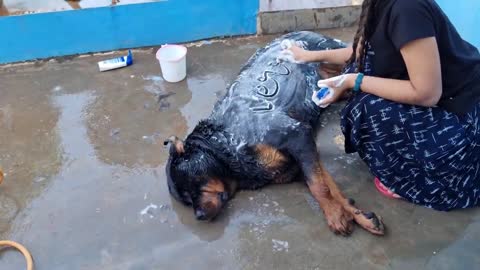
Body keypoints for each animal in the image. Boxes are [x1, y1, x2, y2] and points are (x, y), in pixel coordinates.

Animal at [165, 31, 386, 235]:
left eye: (192, 185)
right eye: (186, 200)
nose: (199, 216)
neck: (225, 144)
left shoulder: (298, 136)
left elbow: (318, 186)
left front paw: (335, 215)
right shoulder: (299, 162)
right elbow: (329, 186)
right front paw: (356, 215)